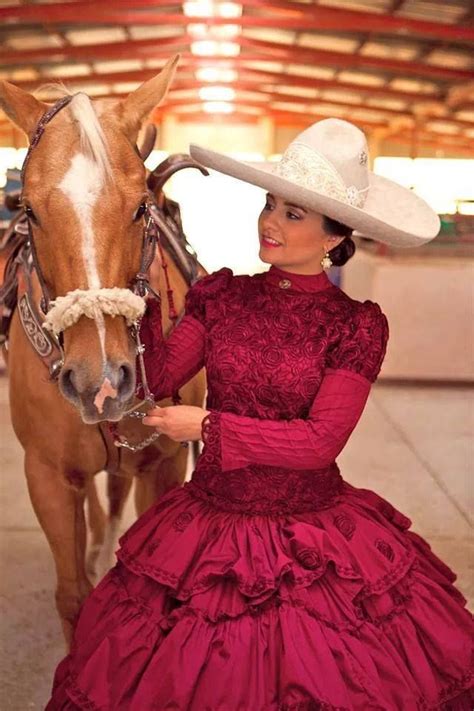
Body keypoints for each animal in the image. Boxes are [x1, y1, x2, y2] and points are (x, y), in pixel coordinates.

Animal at [0, 55, 207, 644]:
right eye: (30, 210)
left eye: (140, 207)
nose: (100, 382)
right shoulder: (47, 474)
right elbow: (73, 596)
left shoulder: (164, 463)